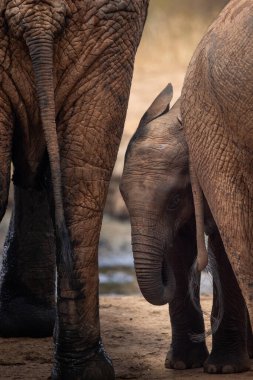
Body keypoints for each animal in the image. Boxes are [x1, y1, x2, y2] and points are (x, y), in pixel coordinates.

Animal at [120, 84, 253, 374]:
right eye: (122, 195)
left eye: (175, 200)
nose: (162, 271)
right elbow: (179, 249)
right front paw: (182, 364)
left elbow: (224, 248)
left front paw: (224, 368)